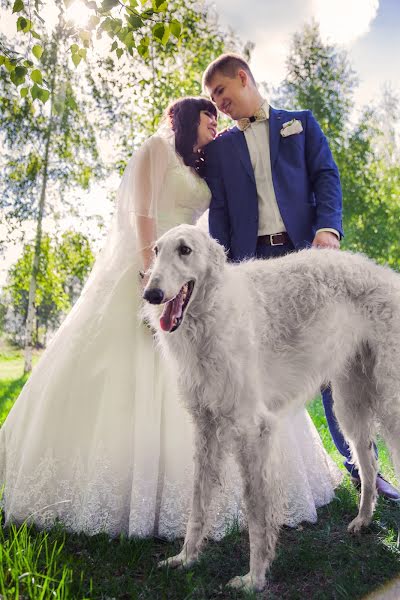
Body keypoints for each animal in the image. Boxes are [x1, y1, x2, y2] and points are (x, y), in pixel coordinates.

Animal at [142, 224, 400, 592]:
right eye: (155, 250)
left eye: (185, 250)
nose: (151, 294)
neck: (215, 311)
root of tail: (386, 275)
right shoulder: (206, 426)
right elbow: (198, 501)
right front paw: (185, 558)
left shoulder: (253, 429)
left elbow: (256, 508)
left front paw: (255, 578)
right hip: (350, 403)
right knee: (367, 463)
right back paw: (362, 520)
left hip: (388, 400)